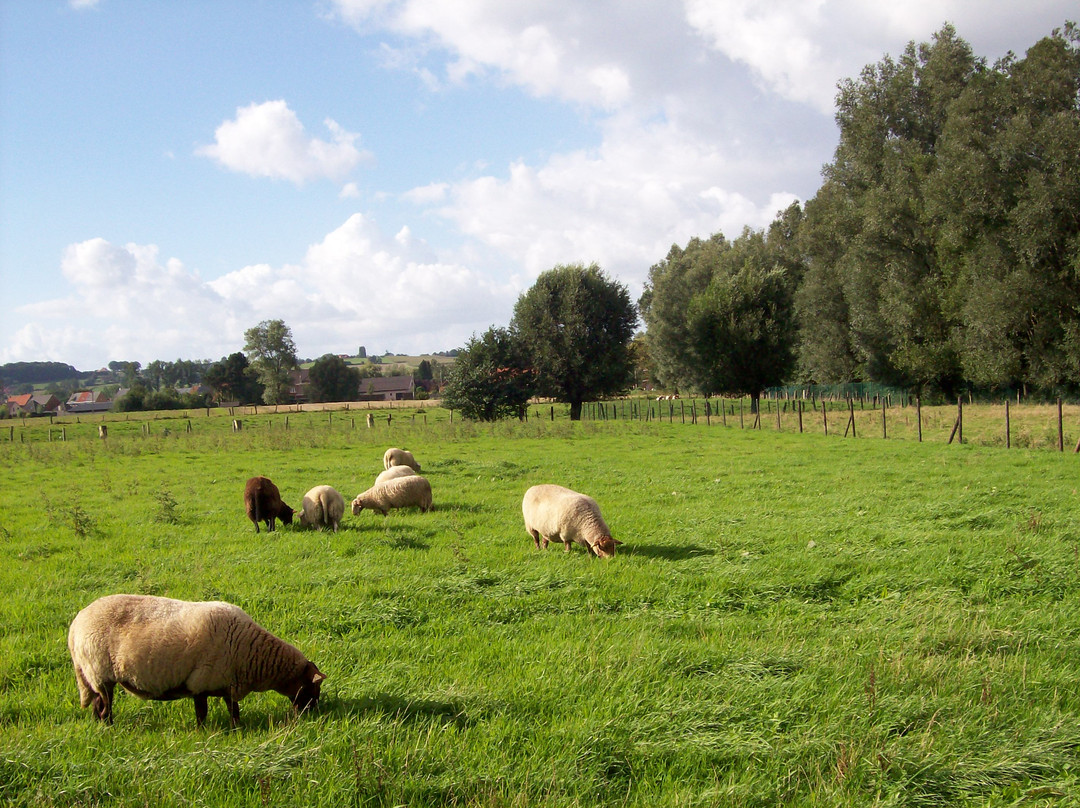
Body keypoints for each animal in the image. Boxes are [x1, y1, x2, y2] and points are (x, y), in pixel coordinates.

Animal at [66, 591, 324, 730]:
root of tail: (76, 625)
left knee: (98, 706)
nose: (311, 715)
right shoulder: (201, 683)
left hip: (94, 677)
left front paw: (237, 729)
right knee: (104, 708)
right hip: (100, 673)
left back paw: (101, 727)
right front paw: (203, 733)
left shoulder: (227, 683)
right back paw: (109, 727)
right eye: (311, 690)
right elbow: (203, 713)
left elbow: (234, 710)